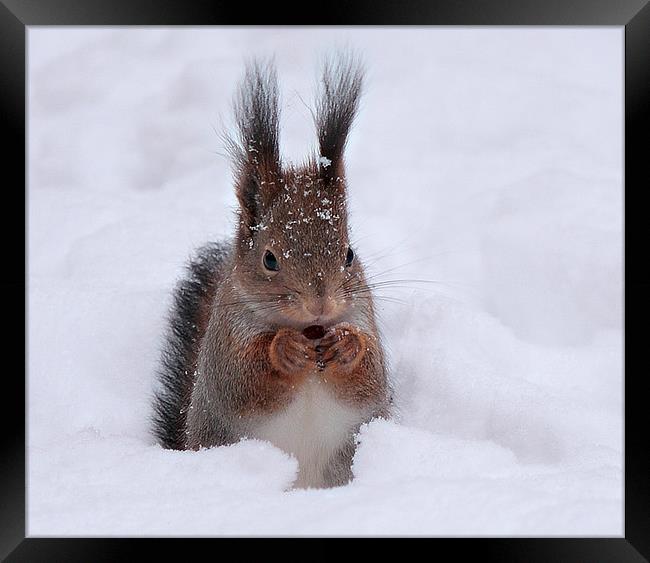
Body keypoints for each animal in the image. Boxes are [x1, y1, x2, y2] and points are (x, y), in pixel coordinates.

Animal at [151, 54, 390, 490]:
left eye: (349, 254)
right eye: (270, 259)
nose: (320, 304)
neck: (309, 331)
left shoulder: (365, 317)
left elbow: (370, 379)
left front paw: (347, 345)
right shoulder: (225, 344)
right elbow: (244, 382)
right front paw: (284, 349)